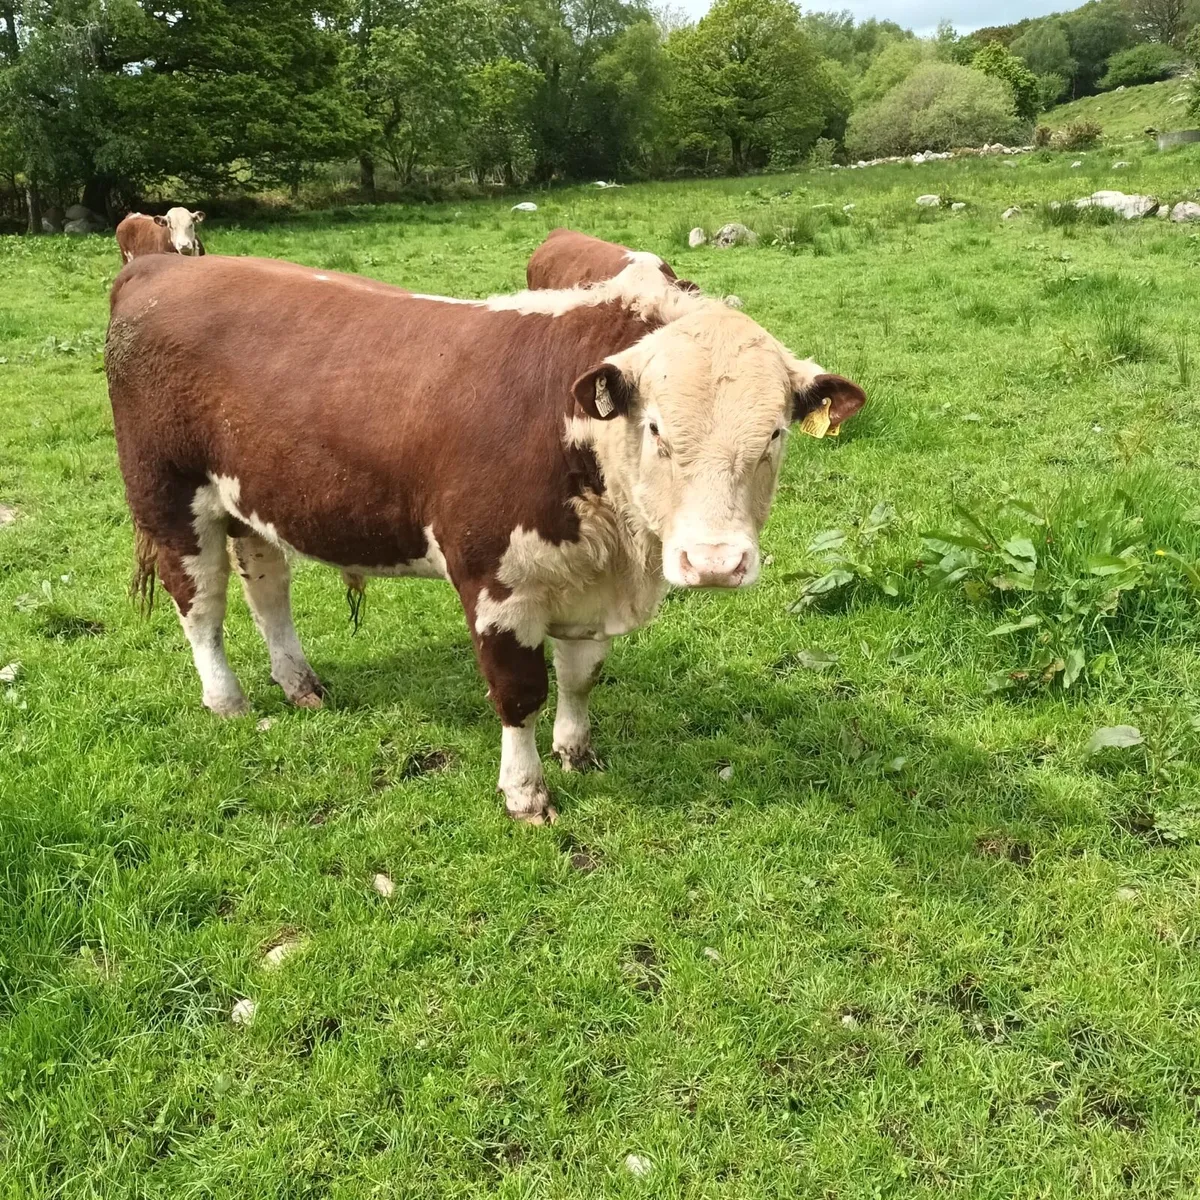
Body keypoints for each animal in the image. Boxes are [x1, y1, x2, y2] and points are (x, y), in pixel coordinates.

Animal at [105, 253, 865, 824]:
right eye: (656, 430)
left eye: (774, 433)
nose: (713, 563)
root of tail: (158, 267)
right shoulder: (497, 585)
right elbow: (519, 692)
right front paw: (526, 792)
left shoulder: (585, 583)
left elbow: (581, 677)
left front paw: (576, 752)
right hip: (167, 494)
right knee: (200, 605)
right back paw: (227, 700)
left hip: (248, 498)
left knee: (268, 590)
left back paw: (299, 684)